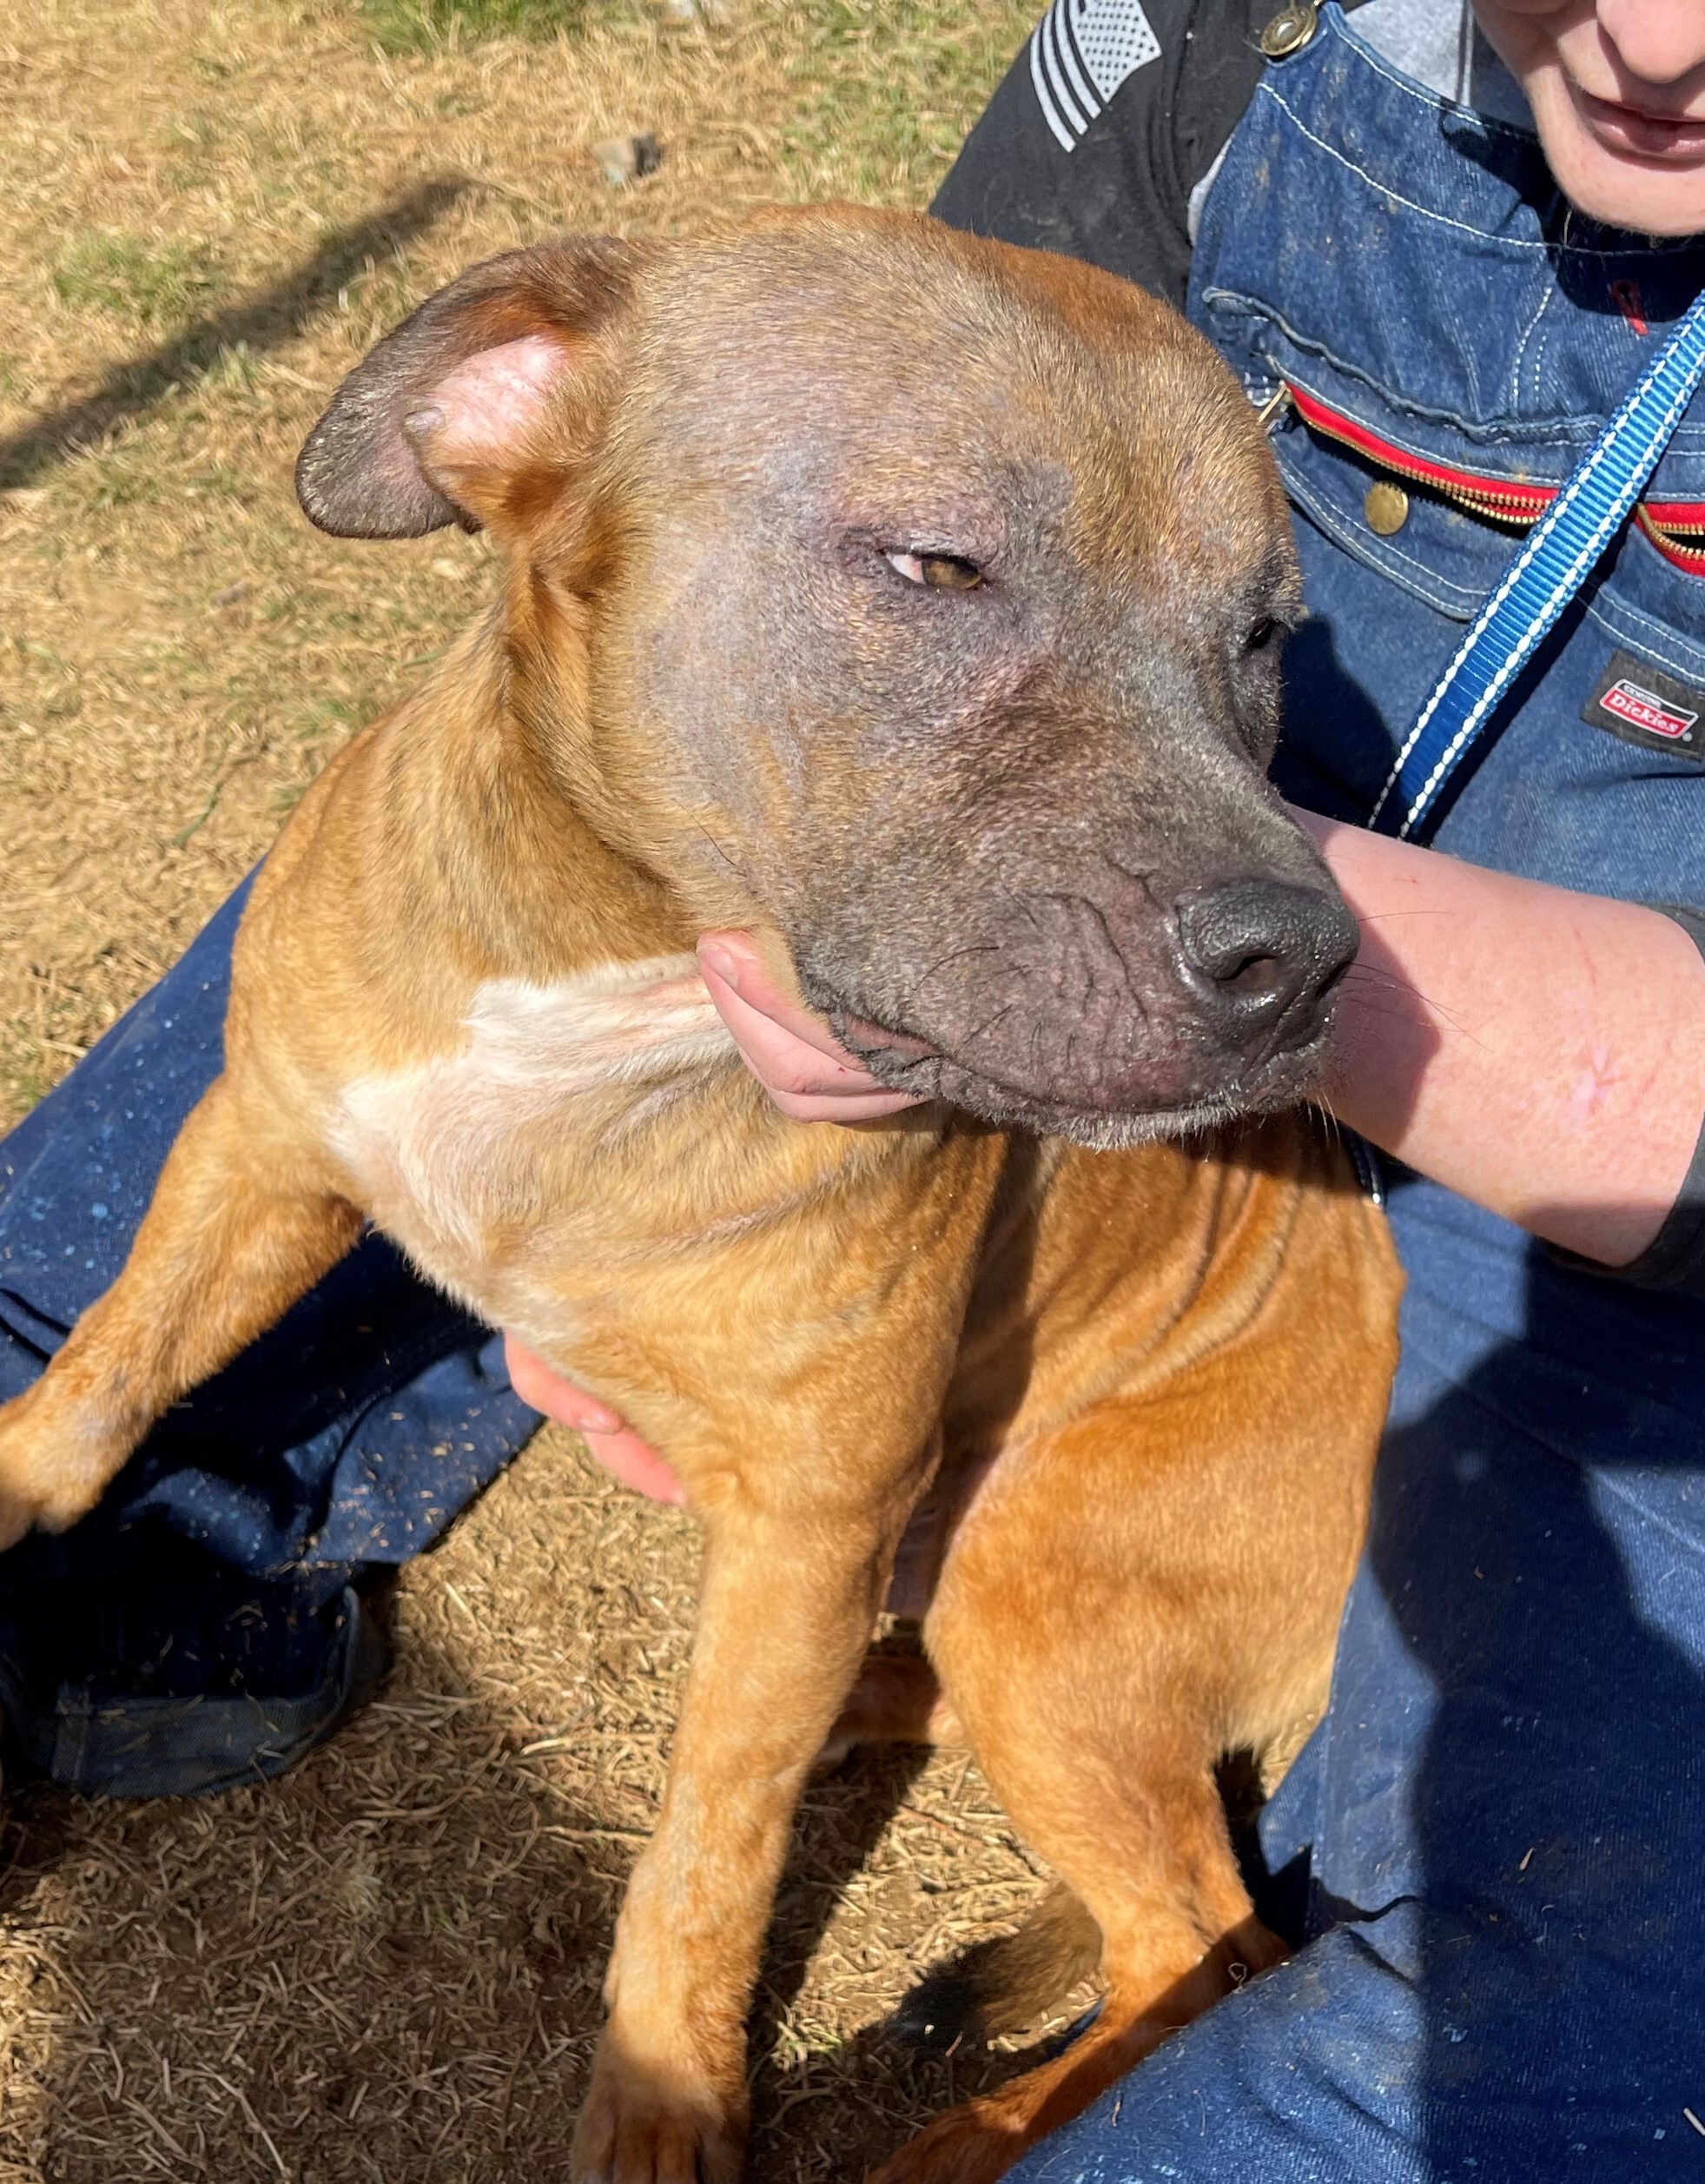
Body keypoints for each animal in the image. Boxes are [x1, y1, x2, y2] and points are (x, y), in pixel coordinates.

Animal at [0, 208, 1397, 2184]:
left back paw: (973, 2131)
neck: (613, 976)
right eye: (935, 564)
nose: (1302, 962)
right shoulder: (259, 1145)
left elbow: (709, 1851)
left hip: (1044, 1579)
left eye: (1260, 639)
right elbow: (103, 1376)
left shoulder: (812, 1509)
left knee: (1203, 1932)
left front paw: (665, 2097)